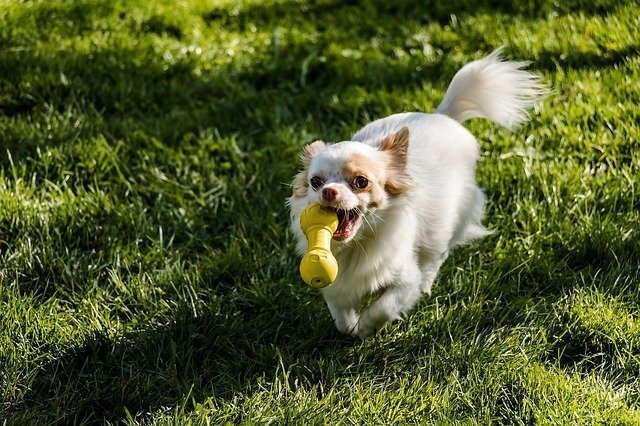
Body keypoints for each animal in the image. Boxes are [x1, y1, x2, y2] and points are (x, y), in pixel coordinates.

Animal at [290, 48, 544, 338]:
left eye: (361, 181)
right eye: (316, 182)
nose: (329, 191)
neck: (357, 245)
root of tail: (443, 115)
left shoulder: (404, 280)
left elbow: (384, 306)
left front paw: (366, 328)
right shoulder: (336, 285)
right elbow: (341, 317)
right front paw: (352, 327)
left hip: (446, 225)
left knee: (437, 255)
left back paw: (426, 284)